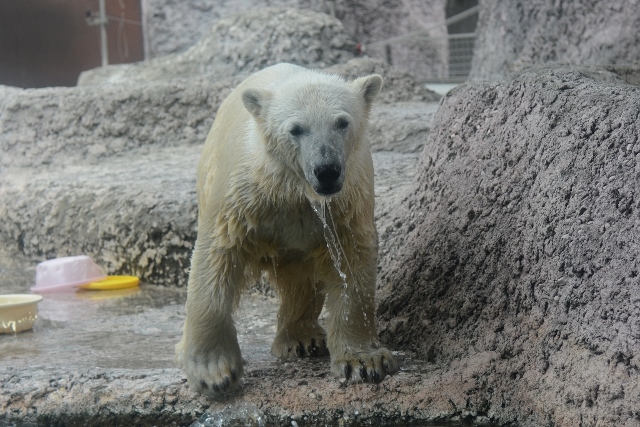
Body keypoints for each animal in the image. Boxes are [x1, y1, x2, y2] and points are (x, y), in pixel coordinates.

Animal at [174, 62, 396, 394]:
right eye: (296, 129)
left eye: (342, 122)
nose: (326, 170)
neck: (293, 189)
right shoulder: (243, 194)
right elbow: (217, 255)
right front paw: (213, 372)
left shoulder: (347, 199)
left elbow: (351, 261)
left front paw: (365, 361)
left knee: (303, 281)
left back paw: (303, 339)